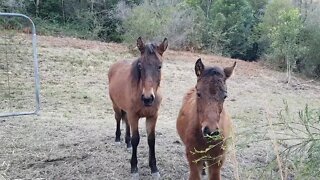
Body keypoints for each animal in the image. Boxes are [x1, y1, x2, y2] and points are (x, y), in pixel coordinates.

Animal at [107, 37, 168, 179]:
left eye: (159, 66)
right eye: (140, 66)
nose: (147, 98)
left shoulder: (152, 117)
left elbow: (151, 140)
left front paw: (154, 169)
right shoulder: (134, 116)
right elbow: (136, 139)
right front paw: (134, 168)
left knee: (126, 123)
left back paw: (127, 143)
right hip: (116, 106)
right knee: (118, 119)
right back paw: (118, 139)